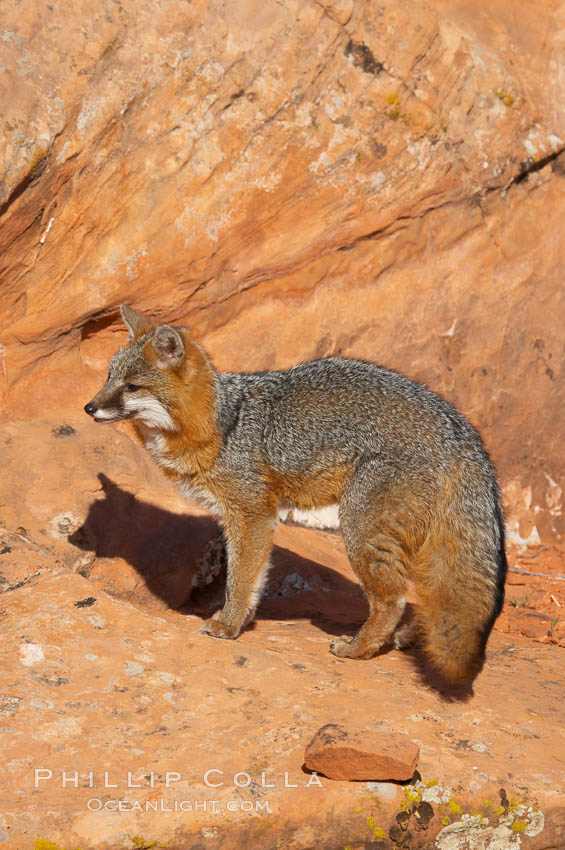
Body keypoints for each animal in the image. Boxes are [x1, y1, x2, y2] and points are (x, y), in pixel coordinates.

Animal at [83, 304, 506, 676]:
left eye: (132, 387)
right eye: (108, 377)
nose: (88, 408)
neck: (223, 425)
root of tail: (458, 426)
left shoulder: (252, 515)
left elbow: (240, 580)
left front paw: (228, 625)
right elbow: (254, 580)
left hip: (360, 530)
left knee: (393, 600)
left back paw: (358, 648)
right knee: (425, 599)